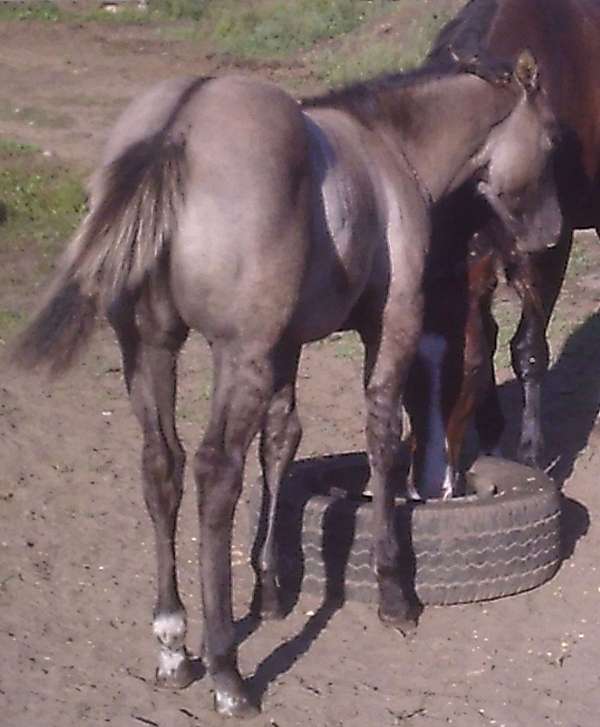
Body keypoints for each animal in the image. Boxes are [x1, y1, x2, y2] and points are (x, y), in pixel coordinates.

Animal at [13, 51, 560, 717]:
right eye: (551, 140)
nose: (550, 234)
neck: (387, 145)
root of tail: (176, 126)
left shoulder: (287, 346)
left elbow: (281, 444)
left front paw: (270, 590)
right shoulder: (391, 321)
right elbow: (382, 440)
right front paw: (394, 594)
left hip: (151, 347)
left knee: (162, 466)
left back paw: (173, 645)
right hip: (235, 353)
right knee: (215, 473)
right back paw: (226, 672)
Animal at [410, 0, 600, 495]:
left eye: (464, 372)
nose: (428, 487)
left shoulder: (549, 244)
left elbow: (527, 350)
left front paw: (531, 456)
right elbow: (490, 330)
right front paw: (493, 440)